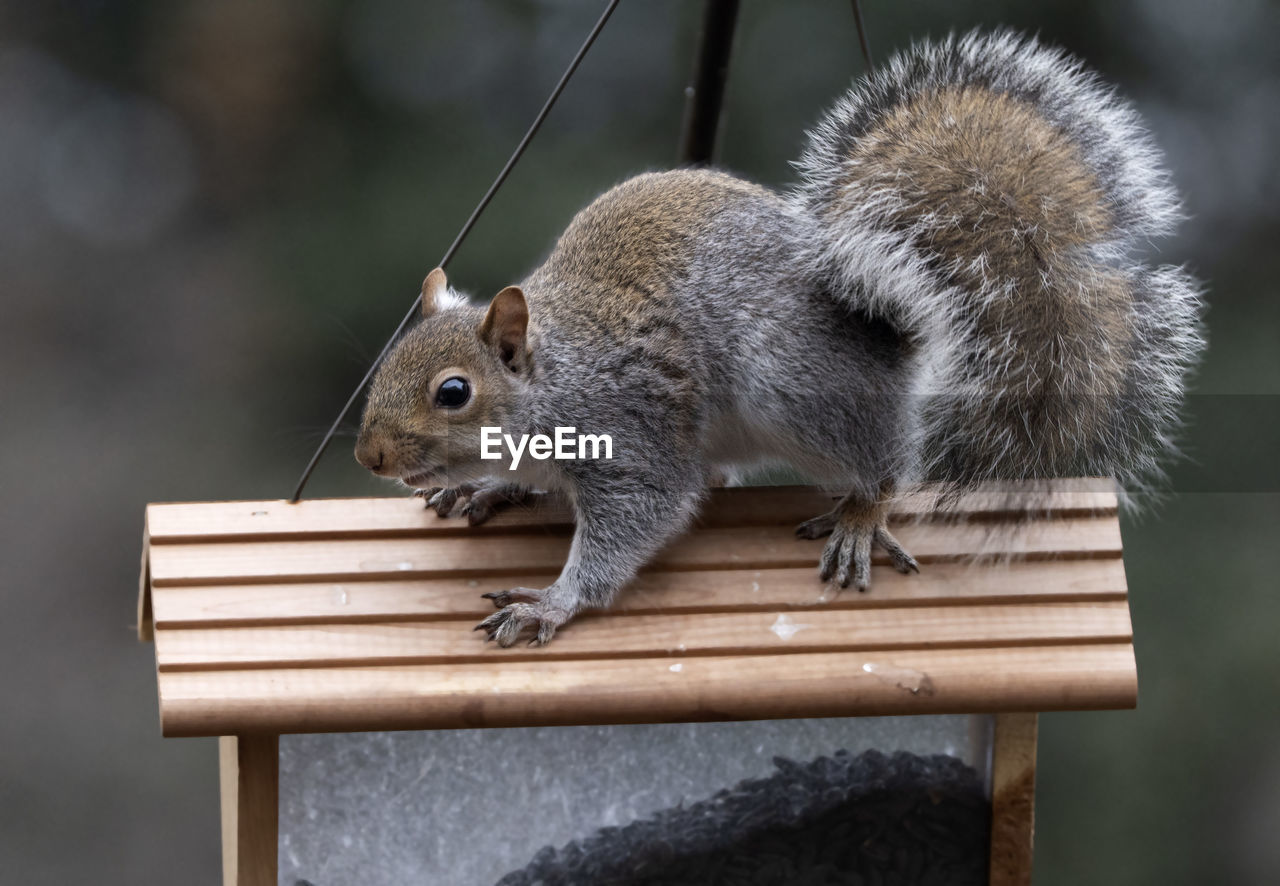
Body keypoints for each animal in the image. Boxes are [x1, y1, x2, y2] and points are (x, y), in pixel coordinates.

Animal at [348, 32, 1198, 642]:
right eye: (384, 365)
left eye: (454, 392)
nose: (370, 457)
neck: (556, 380)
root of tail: (890, 338)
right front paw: (485, 485)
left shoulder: (631, 431)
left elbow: (639, 517)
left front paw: (553, 602)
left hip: (794, 386)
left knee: (884, 463)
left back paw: (861, 515)